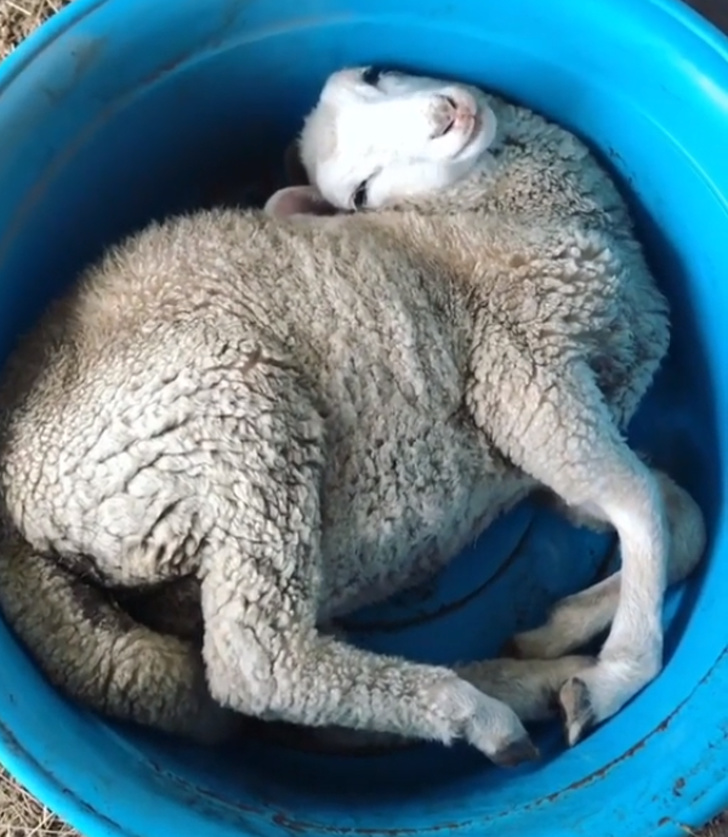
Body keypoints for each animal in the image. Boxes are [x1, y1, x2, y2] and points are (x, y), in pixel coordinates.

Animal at [0, 66, 705, 763]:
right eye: (360, 193)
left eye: (374, 74)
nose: (448, 114)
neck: (488, 216)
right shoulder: (524, 378)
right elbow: (642, 504)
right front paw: (617, 672)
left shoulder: (557, 449)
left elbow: (679, 521)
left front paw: (560, 630)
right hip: (233, 413)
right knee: (257, 666)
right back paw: (481, 712)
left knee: (303, 716)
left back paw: (528, 682)